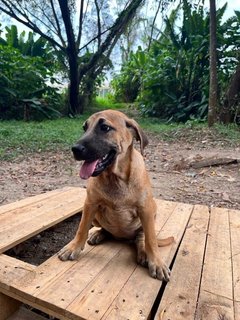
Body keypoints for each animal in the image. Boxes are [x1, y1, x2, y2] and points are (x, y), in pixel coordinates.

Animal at [59, 109, 173, 280]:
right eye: (84, 128)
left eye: (105, 128)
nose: (75, 149)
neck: (115, 178)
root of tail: (122, 238)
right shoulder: (90, 203)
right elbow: (82, 227)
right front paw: (73, 247)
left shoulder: (145, 208)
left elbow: (151, 240)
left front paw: (157, 262)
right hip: (97, 216)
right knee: (106, 230)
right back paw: (98, 234)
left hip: (152, 213)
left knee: (142, 237)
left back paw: (143, 252)